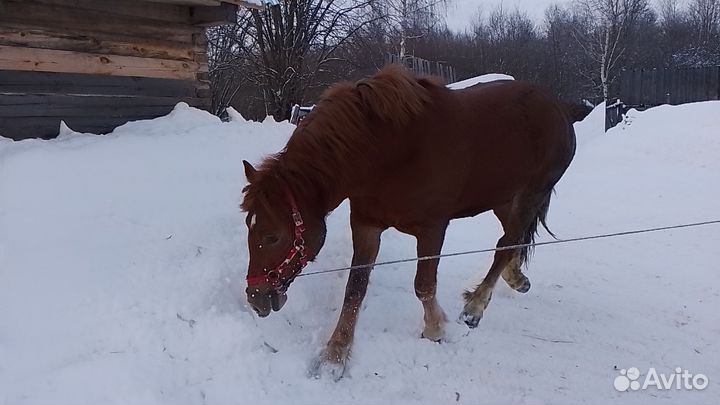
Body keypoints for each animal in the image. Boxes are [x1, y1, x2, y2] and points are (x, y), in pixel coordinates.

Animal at [241, 65, 584, 379]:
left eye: (272, 236)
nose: (255, 300)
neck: (388, 152)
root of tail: (559, 108)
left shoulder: (432, 229)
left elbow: (423, 285)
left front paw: (436, 329)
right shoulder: (366, 225)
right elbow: (355, 289)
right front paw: (335, 356)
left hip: (531, 193)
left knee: (508, 242)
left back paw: (475, 307)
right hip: (504, 198)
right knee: (512, 240)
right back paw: (515, 280)